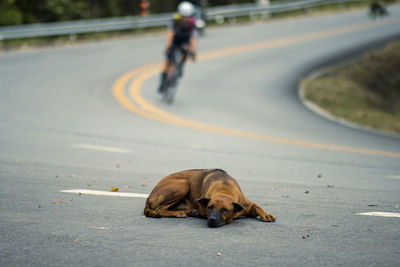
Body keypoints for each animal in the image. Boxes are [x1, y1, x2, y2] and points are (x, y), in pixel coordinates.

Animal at [144, 170, 276, 228]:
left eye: (225, 210)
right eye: (210, 207)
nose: (212, 220)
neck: (224, 189)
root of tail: (149, 197)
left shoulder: (248, 205)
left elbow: (258, 207)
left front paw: (266, 215)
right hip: (183, 184)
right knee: (159, 210)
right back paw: (180, 213)